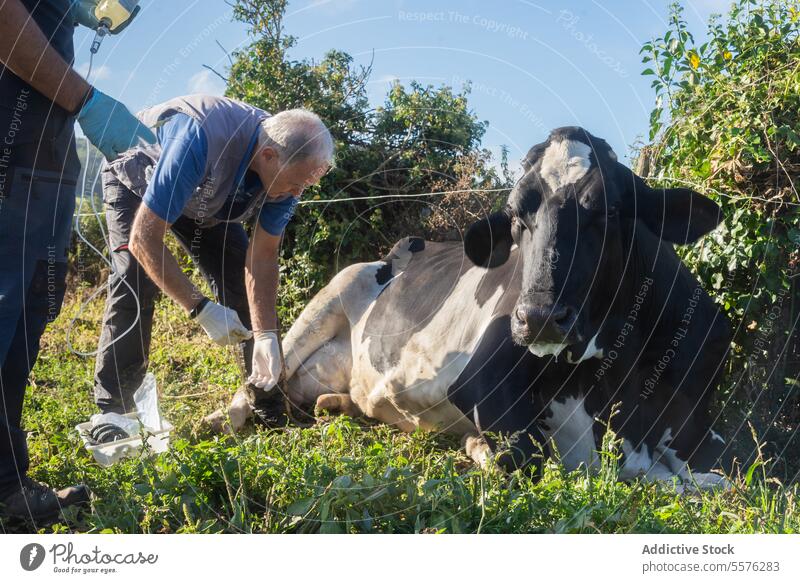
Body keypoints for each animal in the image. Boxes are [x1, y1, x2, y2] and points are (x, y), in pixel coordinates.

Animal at [209, 126, 736, 488]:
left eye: (607, 210)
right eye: (517, 217)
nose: (538, 317)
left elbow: (714, 481)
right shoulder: (481, 379)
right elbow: (525, 457)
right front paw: (477, 446)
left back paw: (330, 405)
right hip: (330, 297)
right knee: (263, 374)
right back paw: (221, 419)